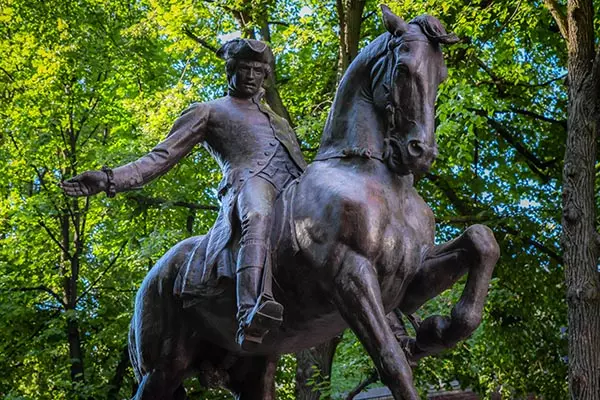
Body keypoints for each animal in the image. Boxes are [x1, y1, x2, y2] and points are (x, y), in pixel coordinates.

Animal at [130, 7, 502, 400]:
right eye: (402, 69)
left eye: (441, 75)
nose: (420, 152)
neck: (375, 180)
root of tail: (153, 276)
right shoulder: (350, 275)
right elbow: (392, 362)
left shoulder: (410, 278)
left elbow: (481, 240)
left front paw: (439, 330)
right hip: (164, 367)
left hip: (250, 367)